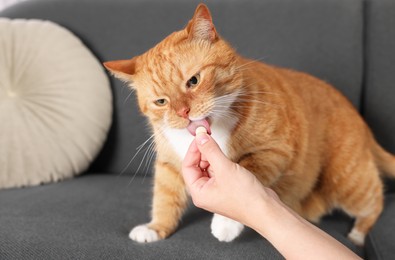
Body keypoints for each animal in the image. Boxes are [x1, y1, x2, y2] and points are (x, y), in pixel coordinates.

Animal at [105, 3, 395, 245]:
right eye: (161, 102)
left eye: (193, 81)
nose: (183, 112)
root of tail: (354, 112)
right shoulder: (169, 164)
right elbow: (165, 197)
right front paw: (155, 228)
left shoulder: (274, 150)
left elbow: (247, 174)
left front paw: (225, 224)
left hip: (346, 180)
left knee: (376, 198)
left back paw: (358, 235)